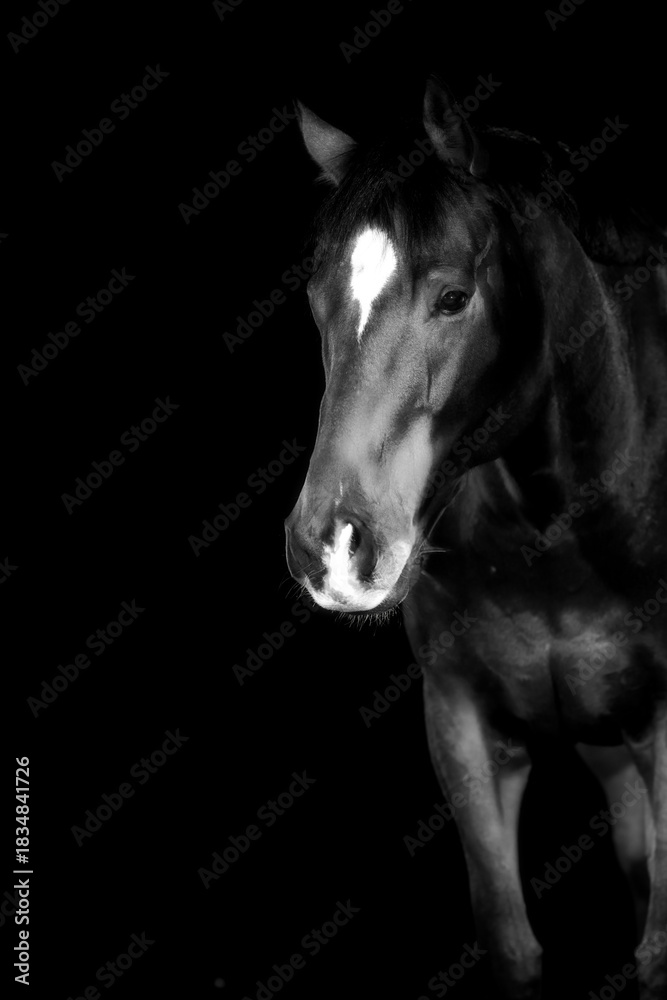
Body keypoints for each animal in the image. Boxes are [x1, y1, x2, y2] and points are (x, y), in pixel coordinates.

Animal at [283, 76, 667, 999]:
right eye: (315, 301)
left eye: (453, 297)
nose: (331, 549)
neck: (559, 531)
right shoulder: (460, 723)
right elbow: (509, 940)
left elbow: (659, 948)